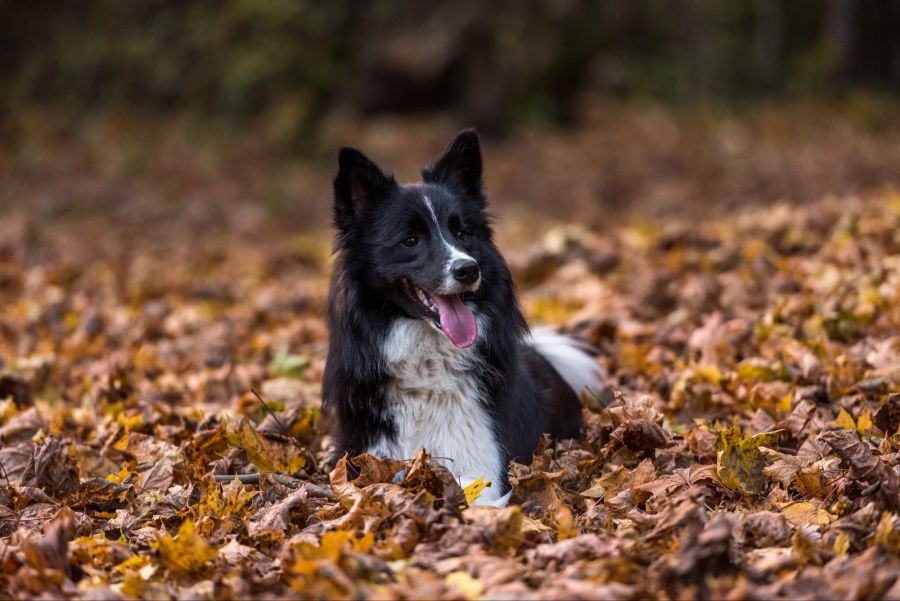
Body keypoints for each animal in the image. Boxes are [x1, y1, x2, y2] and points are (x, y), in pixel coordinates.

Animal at [324, 129, 604, 504]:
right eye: (409, 240)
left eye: (462, 233)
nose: (468, 269)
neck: (428, 368)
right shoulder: (367, 460)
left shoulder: (485, 474)